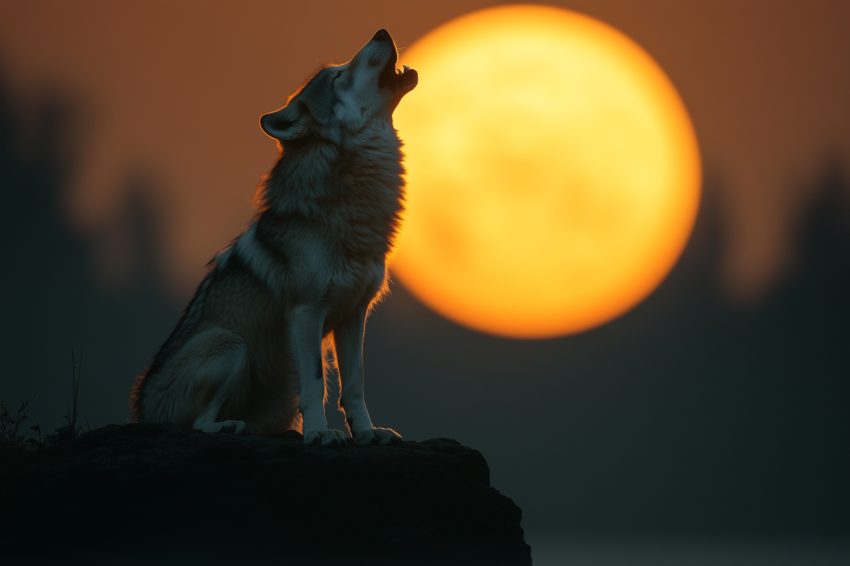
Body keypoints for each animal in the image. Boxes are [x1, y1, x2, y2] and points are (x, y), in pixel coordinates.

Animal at [130, 29, 418, 447]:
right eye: (338, 76)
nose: (381, 32)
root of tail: (144, 411)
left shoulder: (353, 316)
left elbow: (355, 386)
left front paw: (366, 433)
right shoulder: (306, 313)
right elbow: (315, 384)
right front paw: (319, 433)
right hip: (232, 346)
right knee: (198, 423)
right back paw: (227, 426)